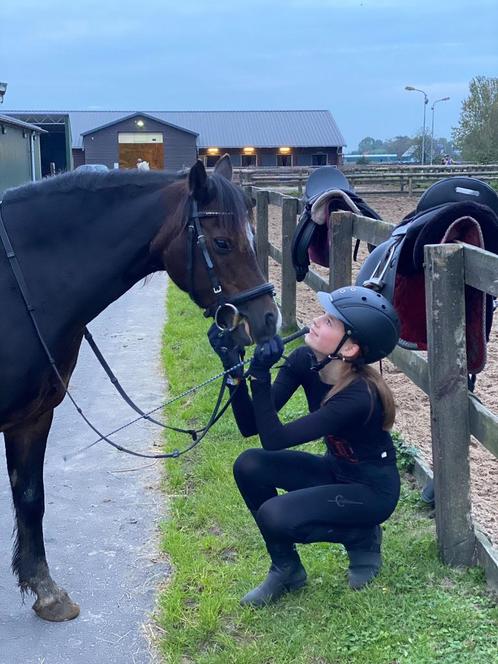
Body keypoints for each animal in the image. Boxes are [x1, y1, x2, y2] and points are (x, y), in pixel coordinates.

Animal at [0, 156, 278, 624]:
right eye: (222, 243)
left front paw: (47, 592)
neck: (22, 286)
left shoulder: (33, 417)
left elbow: (31, 498)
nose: (267, 319)